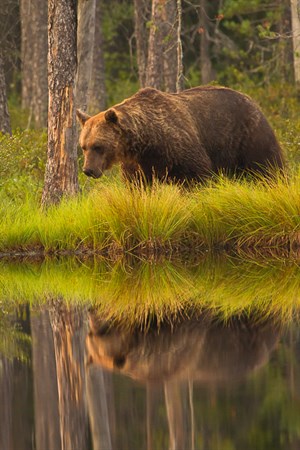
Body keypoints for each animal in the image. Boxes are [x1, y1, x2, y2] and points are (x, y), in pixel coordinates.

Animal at [76, 85, 284, 182]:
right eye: (84, 147)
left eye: (98, 146)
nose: (88, 170)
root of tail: (252, 100)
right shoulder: (136, 163)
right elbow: (137, 185)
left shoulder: (177, 148)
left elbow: (196, 173)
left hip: (250, 136)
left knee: (268, 166)